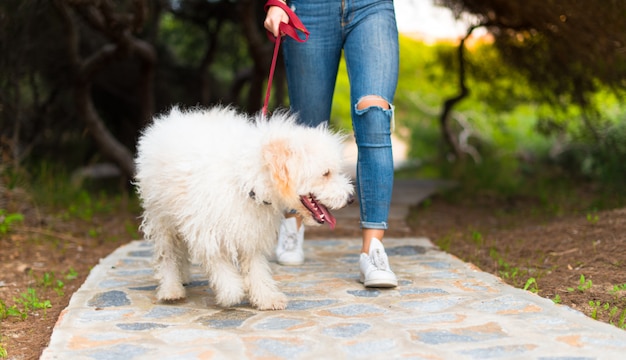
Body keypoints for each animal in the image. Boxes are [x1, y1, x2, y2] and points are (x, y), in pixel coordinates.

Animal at [134, 106, 354, 310]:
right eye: (326, 173)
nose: (351, 198)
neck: (246, 180)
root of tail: (167, 120)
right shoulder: (208, 230)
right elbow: (220, 265)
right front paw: (230, 292)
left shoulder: (251, 231)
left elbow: (256, 268)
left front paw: (266, 297)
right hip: (161, 217)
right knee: (168, 253)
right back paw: (171, 288)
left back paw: (184, 277)